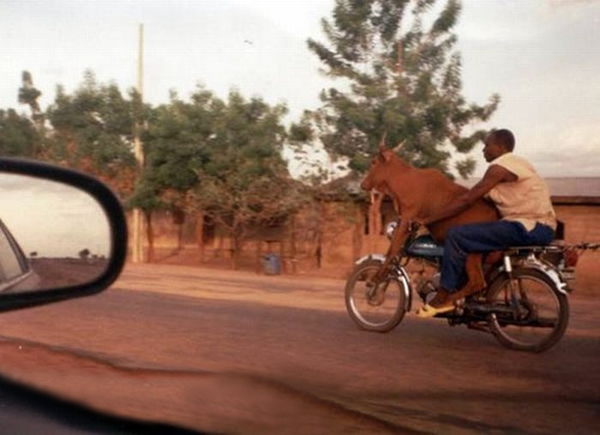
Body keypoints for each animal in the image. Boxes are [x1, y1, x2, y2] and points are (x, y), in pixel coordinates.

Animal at [360, 143, 496, 292]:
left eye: (374, 162)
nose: (363, 184)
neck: (404, 182)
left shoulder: (406, 219)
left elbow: (392, 250)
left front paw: (375, 280)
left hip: (473, 253)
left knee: (477, 282)